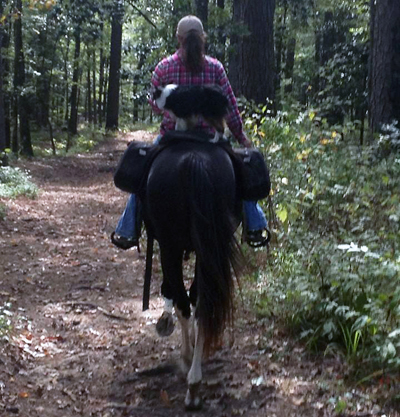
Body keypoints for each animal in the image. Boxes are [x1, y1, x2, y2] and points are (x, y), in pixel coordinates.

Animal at [142, 138, 242, 408]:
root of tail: (193, 159)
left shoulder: (168, 247)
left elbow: (177, 297)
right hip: (209, 245)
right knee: (202, 304)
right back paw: (195, 381)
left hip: (170, 246)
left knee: (185, 305)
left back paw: (191, 375)